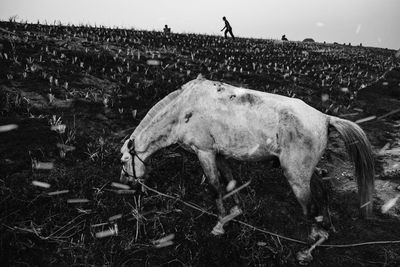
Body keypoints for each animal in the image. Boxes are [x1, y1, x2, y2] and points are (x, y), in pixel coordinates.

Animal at [119, 75, 376, 241]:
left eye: (123, 161)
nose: (127, 184)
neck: (182, 110)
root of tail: (325, 118)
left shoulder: (204, 152)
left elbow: (214, 187)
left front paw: (220, 224)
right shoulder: (219, 153)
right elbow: (230, 182)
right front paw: (235, 211)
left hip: (296, 176)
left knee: (309, 205)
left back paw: (311, 242)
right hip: (305, 171)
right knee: (321, 191)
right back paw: (326, 226)